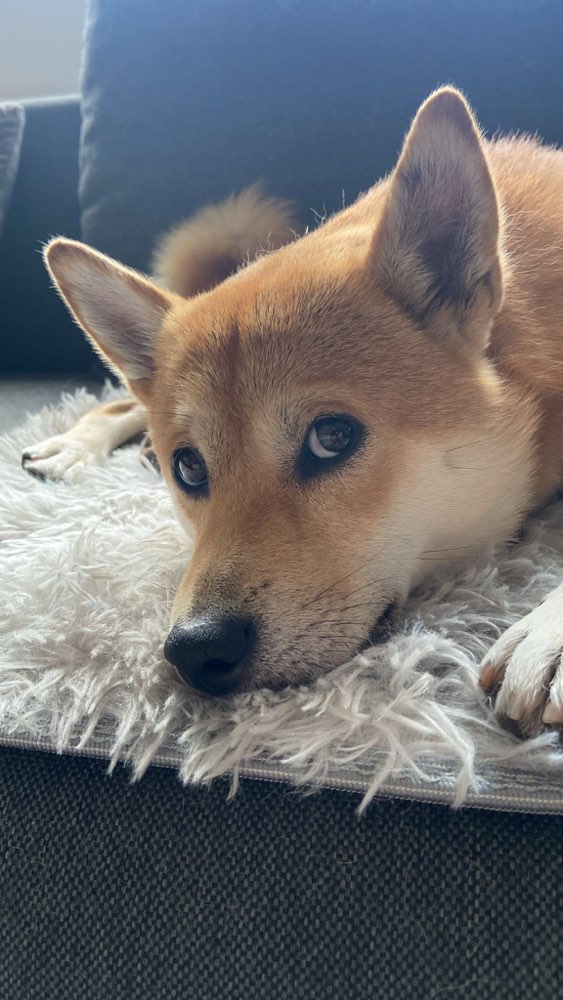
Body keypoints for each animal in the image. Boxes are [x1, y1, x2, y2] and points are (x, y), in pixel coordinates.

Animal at [22, 88, 563, 736]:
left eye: (331, 437)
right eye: (190, 469)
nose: (195, 649)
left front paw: (549, 635)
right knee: (127, 396)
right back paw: (74, 444)